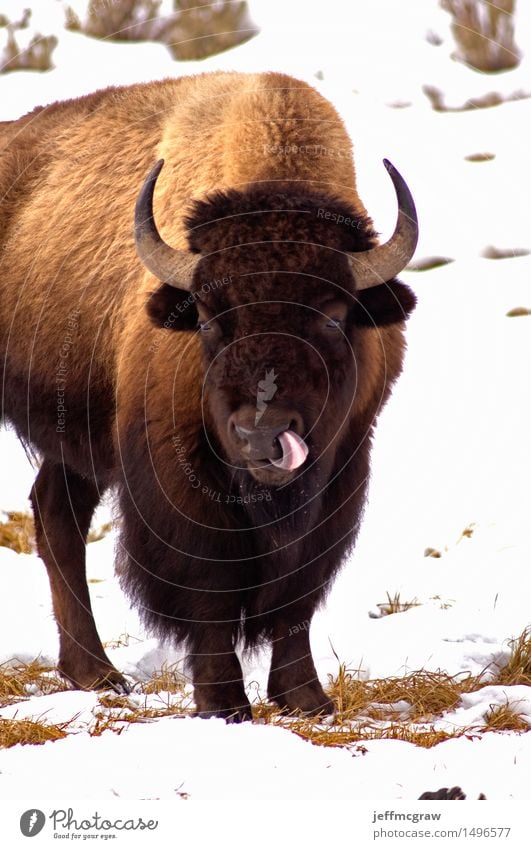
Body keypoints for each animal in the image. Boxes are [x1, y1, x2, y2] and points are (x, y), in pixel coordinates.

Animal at [1, 73, 420, 720]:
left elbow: (299, 591)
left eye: (333, 315)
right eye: (206, 316)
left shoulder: (344, 466)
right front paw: (222, 703)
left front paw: (305, 698)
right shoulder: (176, 477)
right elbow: (210, 588)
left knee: (56, 516)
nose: (262, 436)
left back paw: (96, 674)